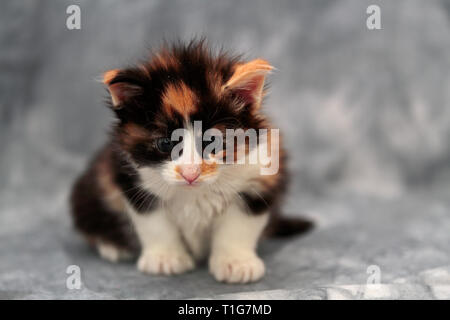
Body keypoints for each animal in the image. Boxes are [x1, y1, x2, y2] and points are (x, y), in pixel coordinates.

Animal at [70, 40, 312, 282]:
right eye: (165, 143)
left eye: (213, 141)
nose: (190, 173)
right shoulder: (130, 175)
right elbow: (154, 223)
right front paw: (165, 258)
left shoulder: (260, 176)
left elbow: (240, 225)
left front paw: (235, 262)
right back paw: (113, 246)